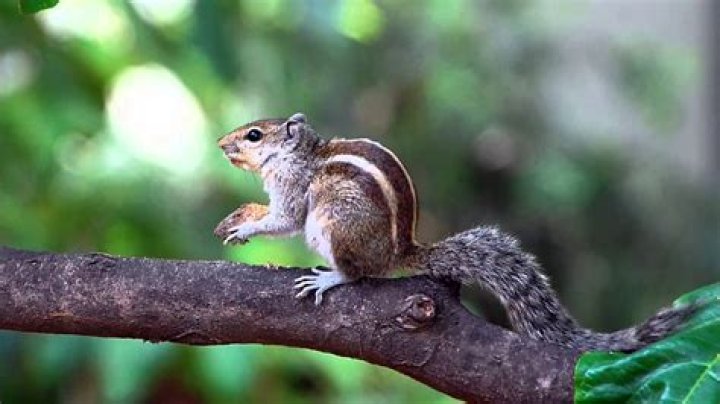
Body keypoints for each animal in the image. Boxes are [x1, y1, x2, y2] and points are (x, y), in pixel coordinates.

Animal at [215, 112, 695, 352]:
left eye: (254, 135)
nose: (220, 144)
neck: (300, 154)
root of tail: (399, 253)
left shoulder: (294, 189)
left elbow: (285, 219)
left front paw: (247, 227)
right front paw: (238, 218)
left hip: (334, 225)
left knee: (358, 273)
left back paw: (329, 277)